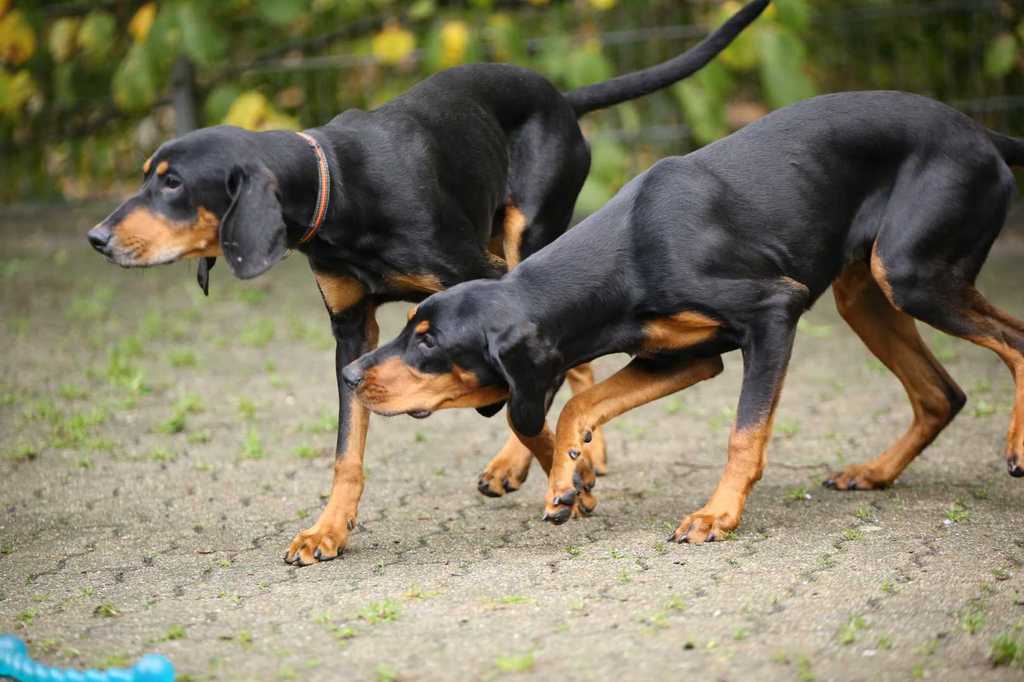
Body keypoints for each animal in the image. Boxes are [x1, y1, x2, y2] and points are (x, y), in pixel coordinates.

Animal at [84, 0, 768, 565]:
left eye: (172, 183)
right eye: (147, 175)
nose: (96, 238)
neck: (343, 188)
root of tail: (561, 97)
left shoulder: (479, 288)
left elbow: (523, 401)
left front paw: (568, 479)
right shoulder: (351, 332)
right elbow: (347, 446)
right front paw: (327, 530)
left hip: (528, 238)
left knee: (561, 360)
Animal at [345, 90, 1024, 543]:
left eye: (429, 343)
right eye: (407, 326)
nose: (349, 375)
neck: (633, 250)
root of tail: (982, 133)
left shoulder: (774, 315)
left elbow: (744, 434)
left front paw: (717, 515)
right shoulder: (681, 358)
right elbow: (578, 404)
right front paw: (567, 481)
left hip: (911, 275)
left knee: (1014, 341)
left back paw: (1015, 447)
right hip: (866, 293)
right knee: (941, 394)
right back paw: (874, 473)